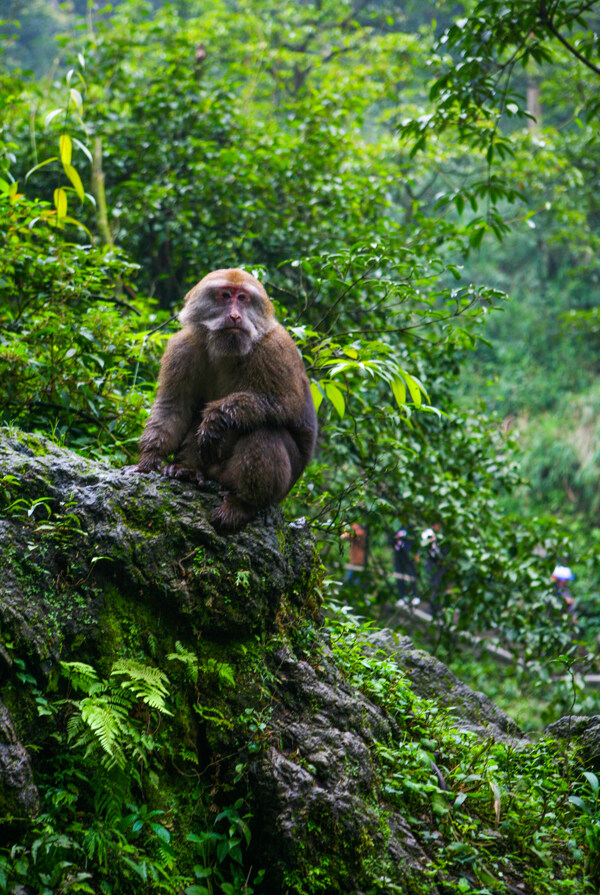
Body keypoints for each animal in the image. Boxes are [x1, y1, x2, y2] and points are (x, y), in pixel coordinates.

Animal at [133, 266, 316, 532]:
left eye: (243, 298)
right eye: (226, 295)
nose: (235, 316)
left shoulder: (275, 349)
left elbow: (287, 404)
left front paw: (216, 416)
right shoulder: (182, 347)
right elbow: (173, 406)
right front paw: (149, 459)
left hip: (275, 487)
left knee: (264, 432)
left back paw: (243, 505)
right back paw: (187, 470)